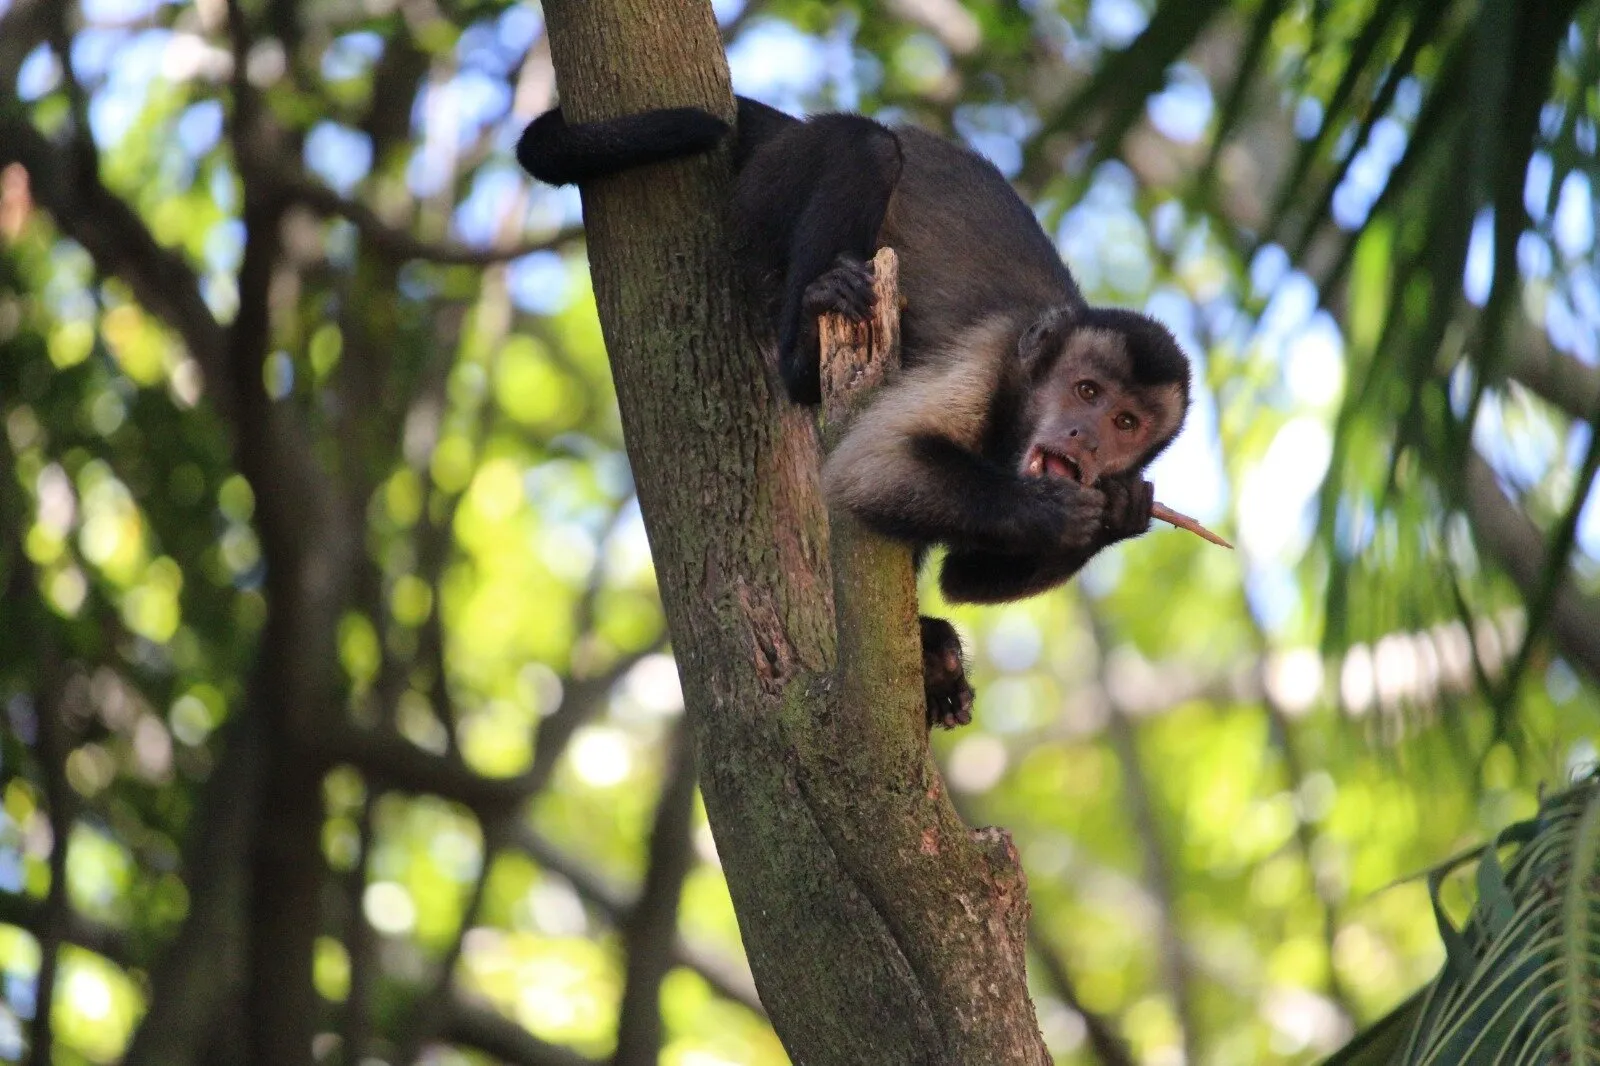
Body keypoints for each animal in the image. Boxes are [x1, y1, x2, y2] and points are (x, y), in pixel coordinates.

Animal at [517, 97, 1191, 728]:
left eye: (1125, 423)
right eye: (1086, 392)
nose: (1086, 436)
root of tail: (791, 127)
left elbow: (963, 576)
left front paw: (1121, 513)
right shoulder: (987, 358)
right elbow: (869, 468)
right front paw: (1052, 508)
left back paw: (932, 656)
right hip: (765, 199)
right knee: (869, 150)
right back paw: (806, 343)